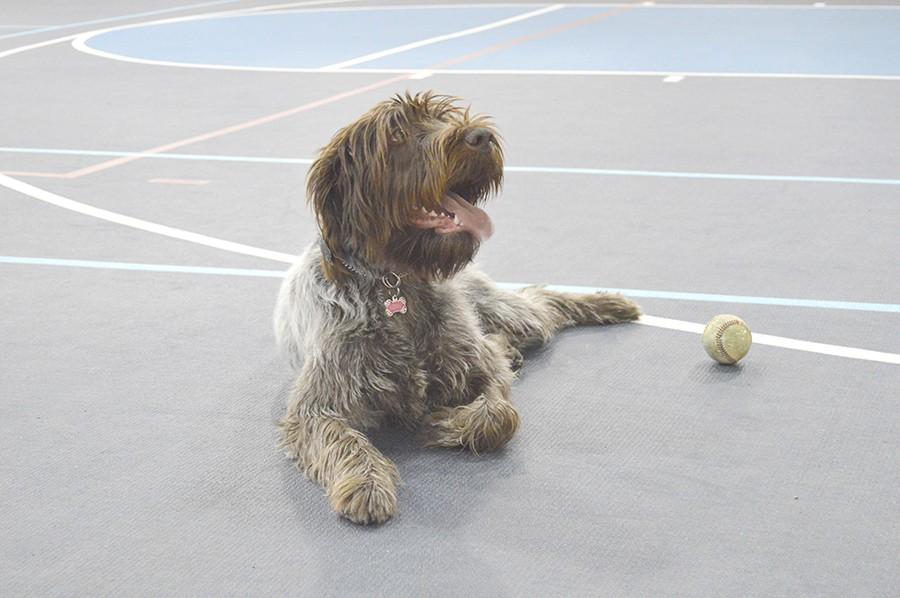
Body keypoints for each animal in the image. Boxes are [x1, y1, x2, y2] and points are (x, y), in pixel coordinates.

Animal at [274, 92, 640, 524]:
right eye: (397, 134)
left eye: (443, 116)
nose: (480, 136)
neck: (396, 283)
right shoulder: (317, 407)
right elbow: (343, 441)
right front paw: (365, 483)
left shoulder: (481, 367)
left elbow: (499, 414)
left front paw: (444, 423)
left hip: (511, 313)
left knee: (542, 304)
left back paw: (607, 302)